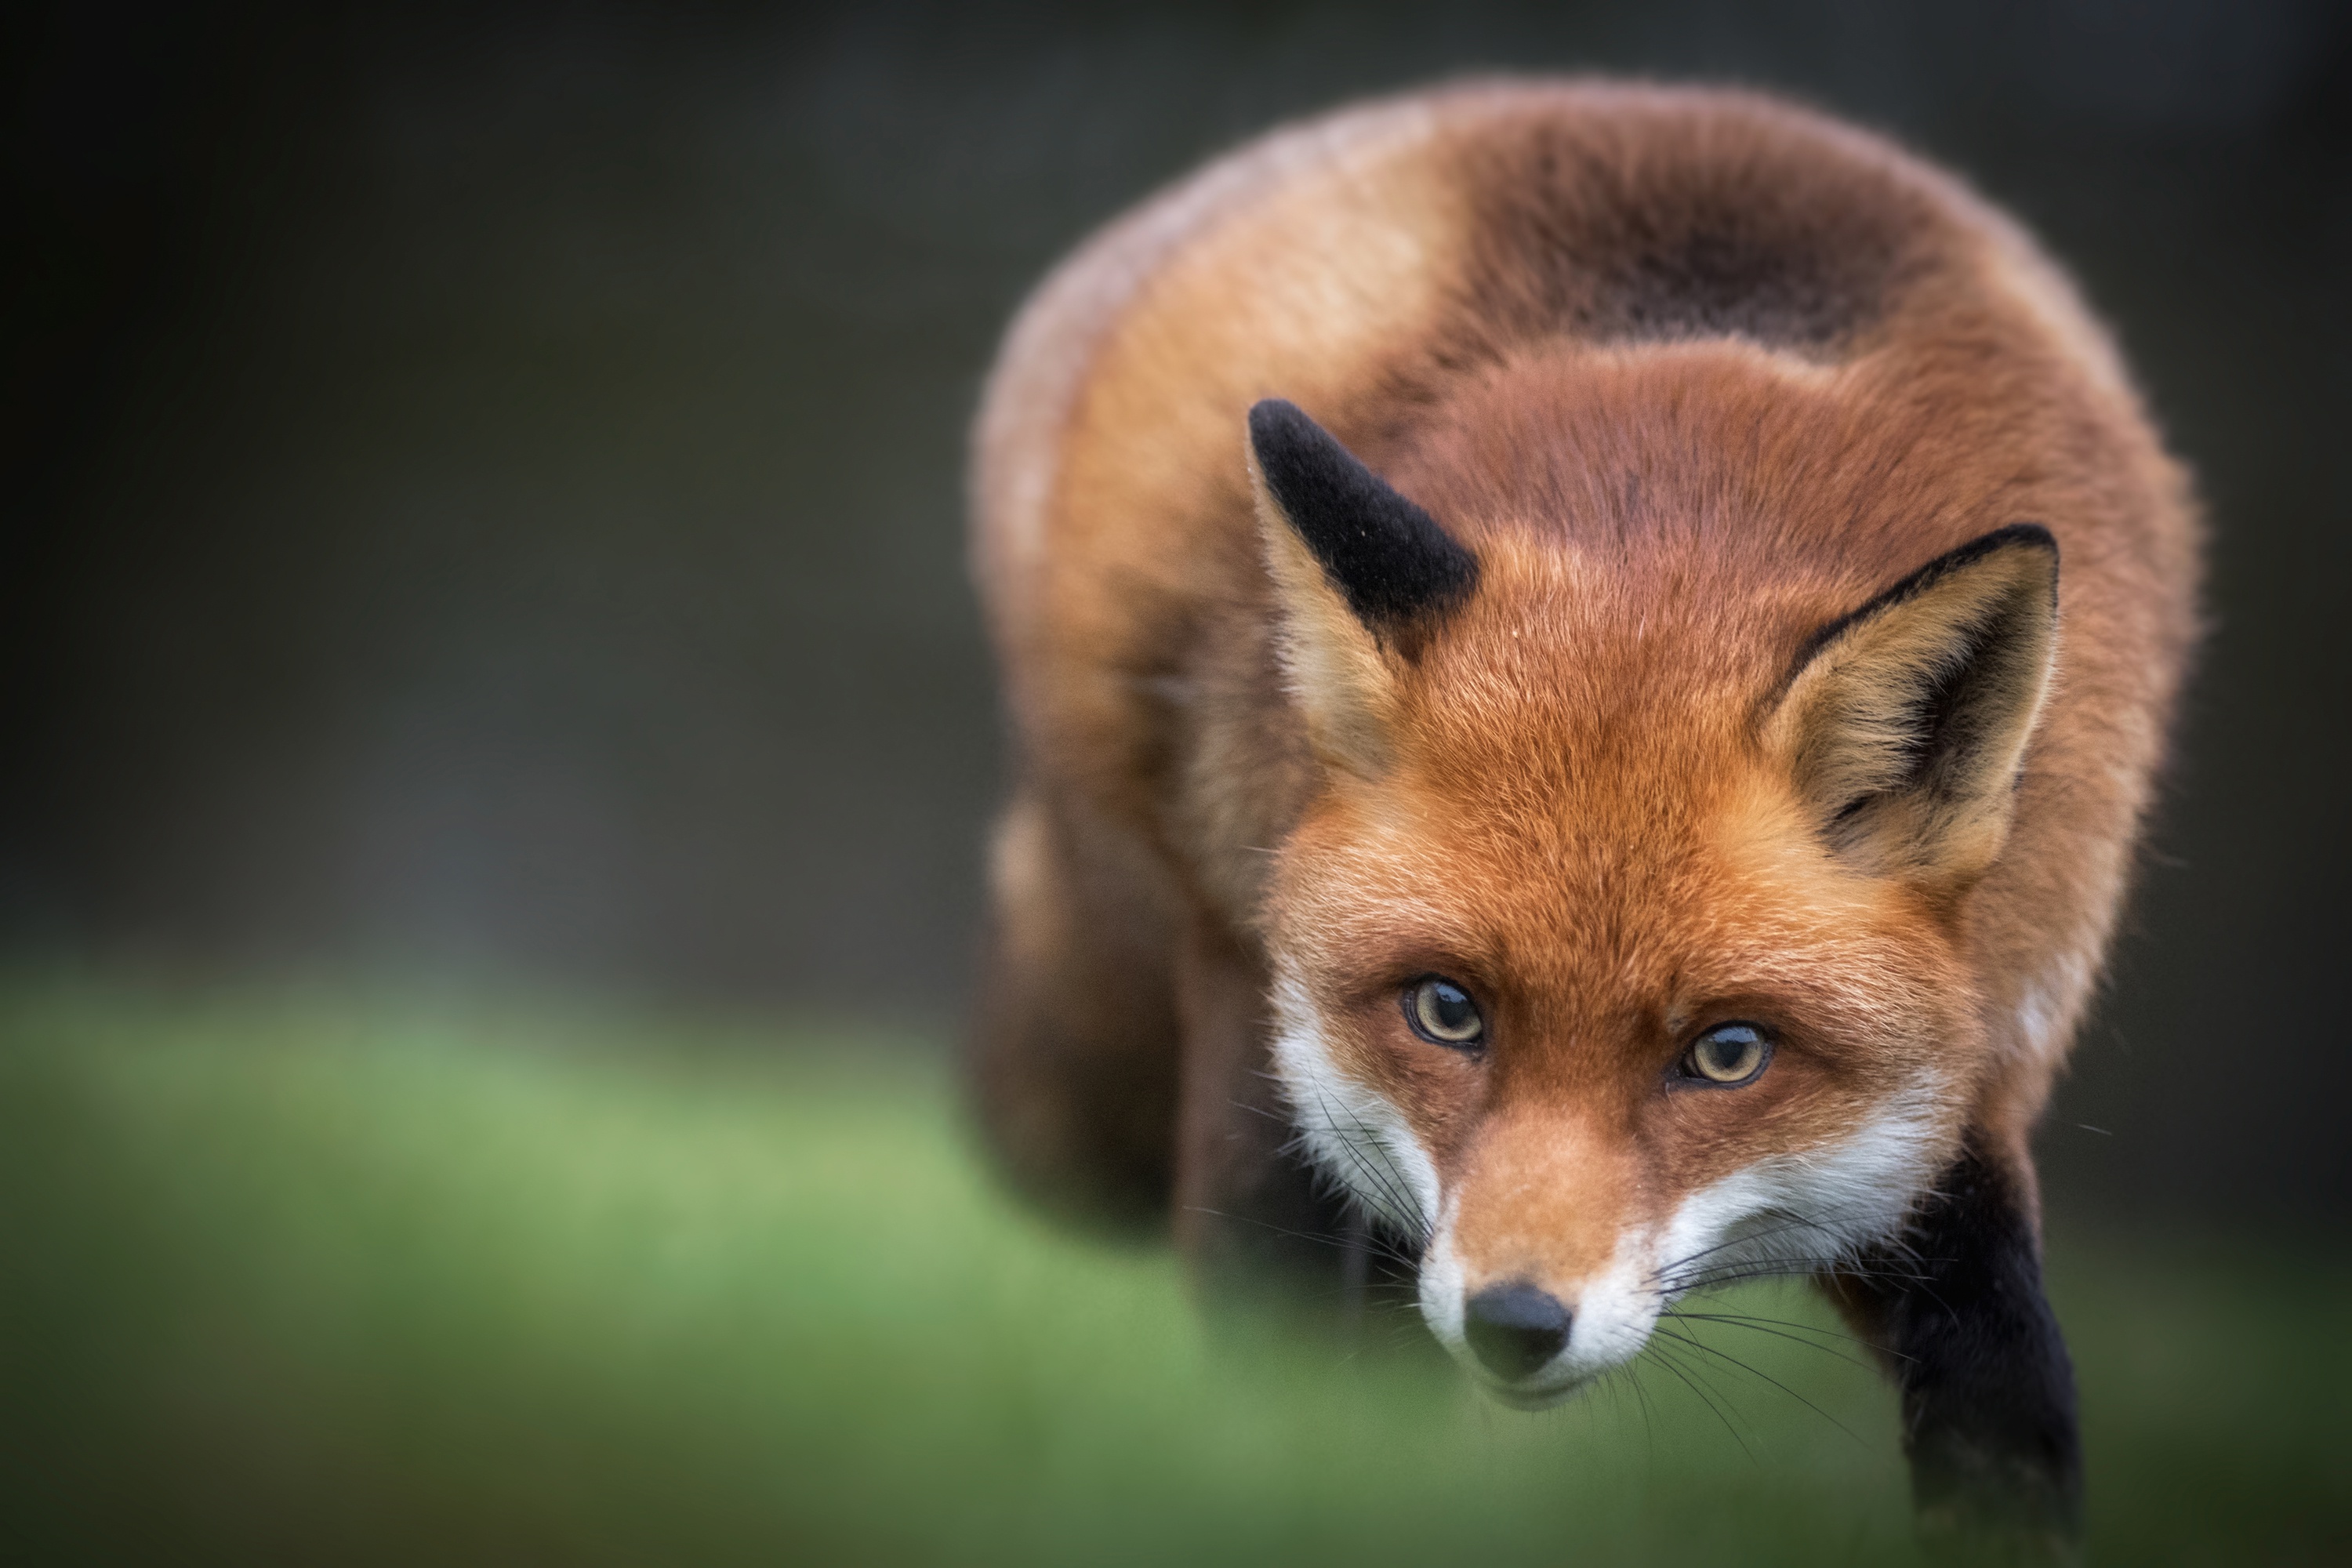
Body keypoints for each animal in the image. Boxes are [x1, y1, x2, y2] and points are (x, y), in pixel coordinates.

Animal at [964, 79, 2192, 1542]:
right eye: (1448, 1010)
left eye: (1729, 1052)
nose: (1516, 1324)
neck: (1693, 492)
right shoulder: (1273, 1074)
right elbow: (1283, 1357)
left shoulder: (1959, 1089)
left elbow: (2006, 1368)